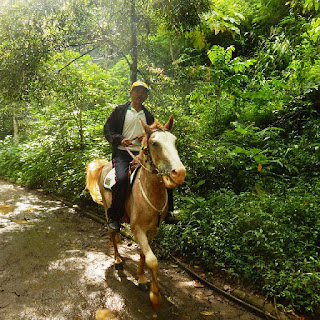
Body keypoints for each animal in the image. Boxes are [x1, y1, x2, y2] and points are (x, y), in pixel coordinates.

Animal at [85, 117, 185, 310]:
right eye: (154, 143)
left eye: (175, 141)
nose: (179, 173)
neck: (149, 190)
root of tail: (104, 166)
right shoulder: (137, 229)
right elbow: (152, 260)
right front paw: (155, 295)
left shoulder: (152, 230)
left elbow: (143, 255)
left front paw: (141, 277)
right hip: (108, 212)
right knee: (112, 233)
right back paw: (117, 260)